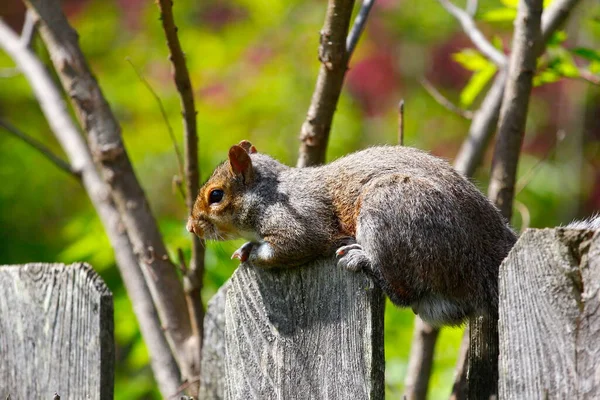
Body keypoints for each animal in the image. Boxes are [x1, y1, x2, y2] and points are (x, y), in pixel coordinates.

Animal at [188, 140, 516, 324]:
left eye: (215, 195)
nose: (192, 226)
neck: (268, 193)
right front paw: (245, 247)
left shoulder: (299, 221)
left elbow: (293, 246)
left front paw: (252, 251)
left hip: (390, 208)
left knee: (404, 293)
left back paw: (363, 259)